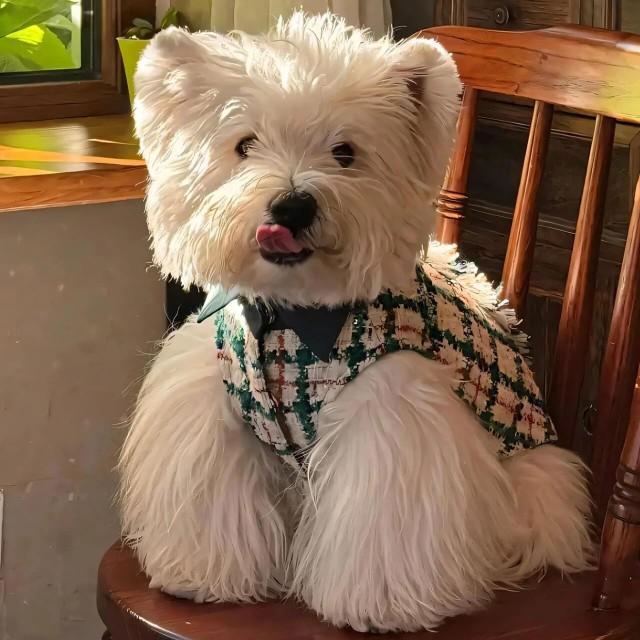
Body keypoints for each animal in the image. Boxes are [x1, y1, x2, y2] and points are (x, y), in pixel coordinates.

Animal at [119, 12, 593, 633]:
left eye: (345, 152)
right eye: (244, 144)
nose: (292, 206)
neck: (289, 317)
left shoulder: (393, 421)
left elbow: (381, 522)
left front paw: (381, 607)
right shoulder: (216, 414)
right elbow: (215, 500)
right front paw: (201, 575)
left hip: (531, 488)